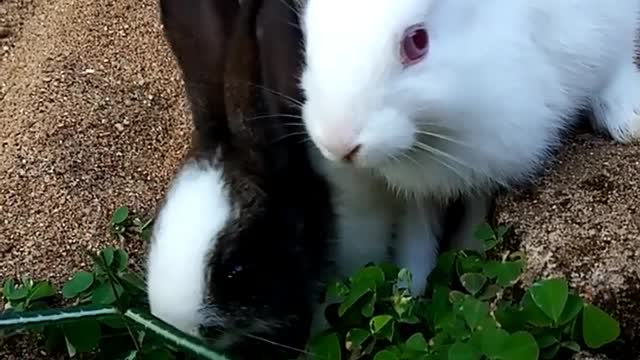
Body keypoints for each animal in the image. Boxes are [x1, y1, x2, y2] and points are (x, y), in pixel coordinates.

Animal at [296, 0, 640, 296]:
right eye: (309, 37)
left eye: (417, 41)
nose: (337, 144)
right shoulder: (419, 187)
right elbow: (416, 233)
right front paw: (409, 293)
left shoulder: (490, 157)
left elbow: (476, 211)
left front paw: (468, 260)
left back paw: (627, 120)